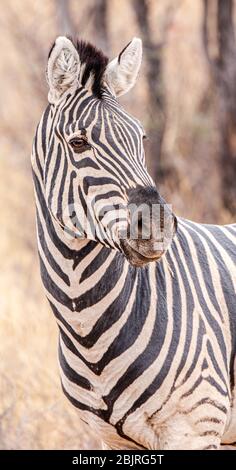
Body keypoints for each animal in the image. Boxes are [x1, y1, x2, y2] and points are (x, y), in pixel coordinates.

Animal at [31, 35, 236, 448]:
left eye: (141, 138)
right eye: (78, 143)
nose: (158, 226)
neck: (86, 327)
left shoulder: (196, 428)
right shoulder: (111, 439)